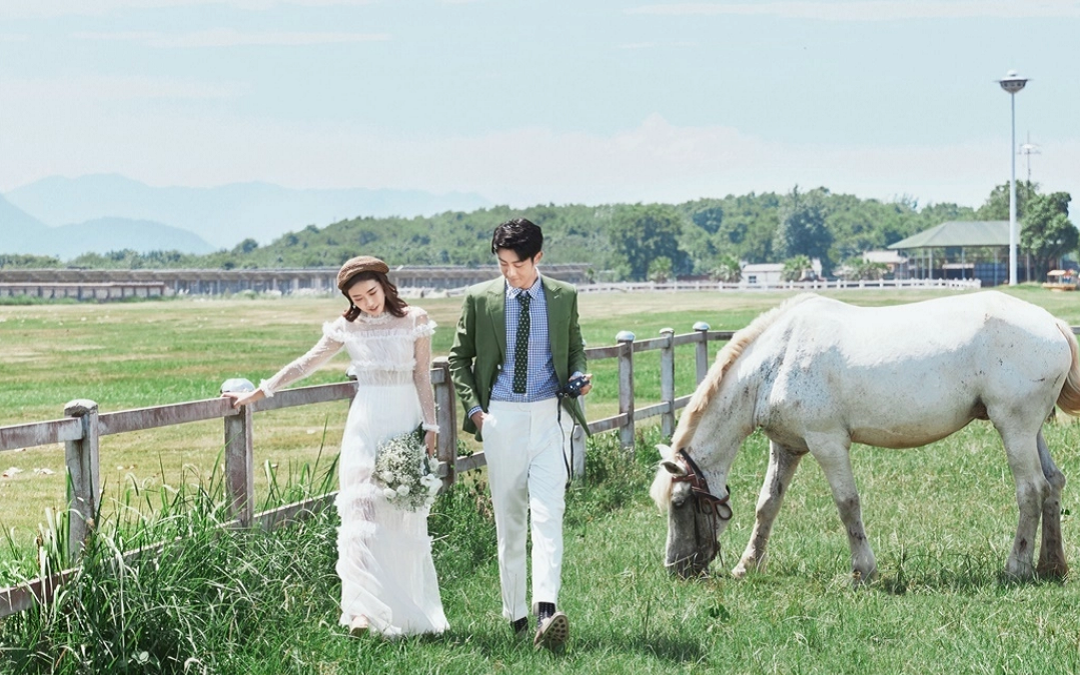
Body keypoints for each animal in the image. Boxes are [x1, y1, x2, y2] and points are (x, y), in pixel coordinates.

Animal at [648, 291, 1080, 583]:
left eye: (680, 502)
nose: (675, 568)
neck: (778, 360)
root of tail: (1053, 323)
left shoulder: (827, 443)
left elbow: (847, 504)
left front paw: (862, 571)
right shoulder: (787, 446)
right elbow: (767, 505)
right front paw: (747, 565)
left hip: (1014, 428)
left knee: (1030, 490)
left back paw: (1016, 567)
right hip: (1030, 430)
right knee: (1053, 483)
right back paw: (1051, 564)